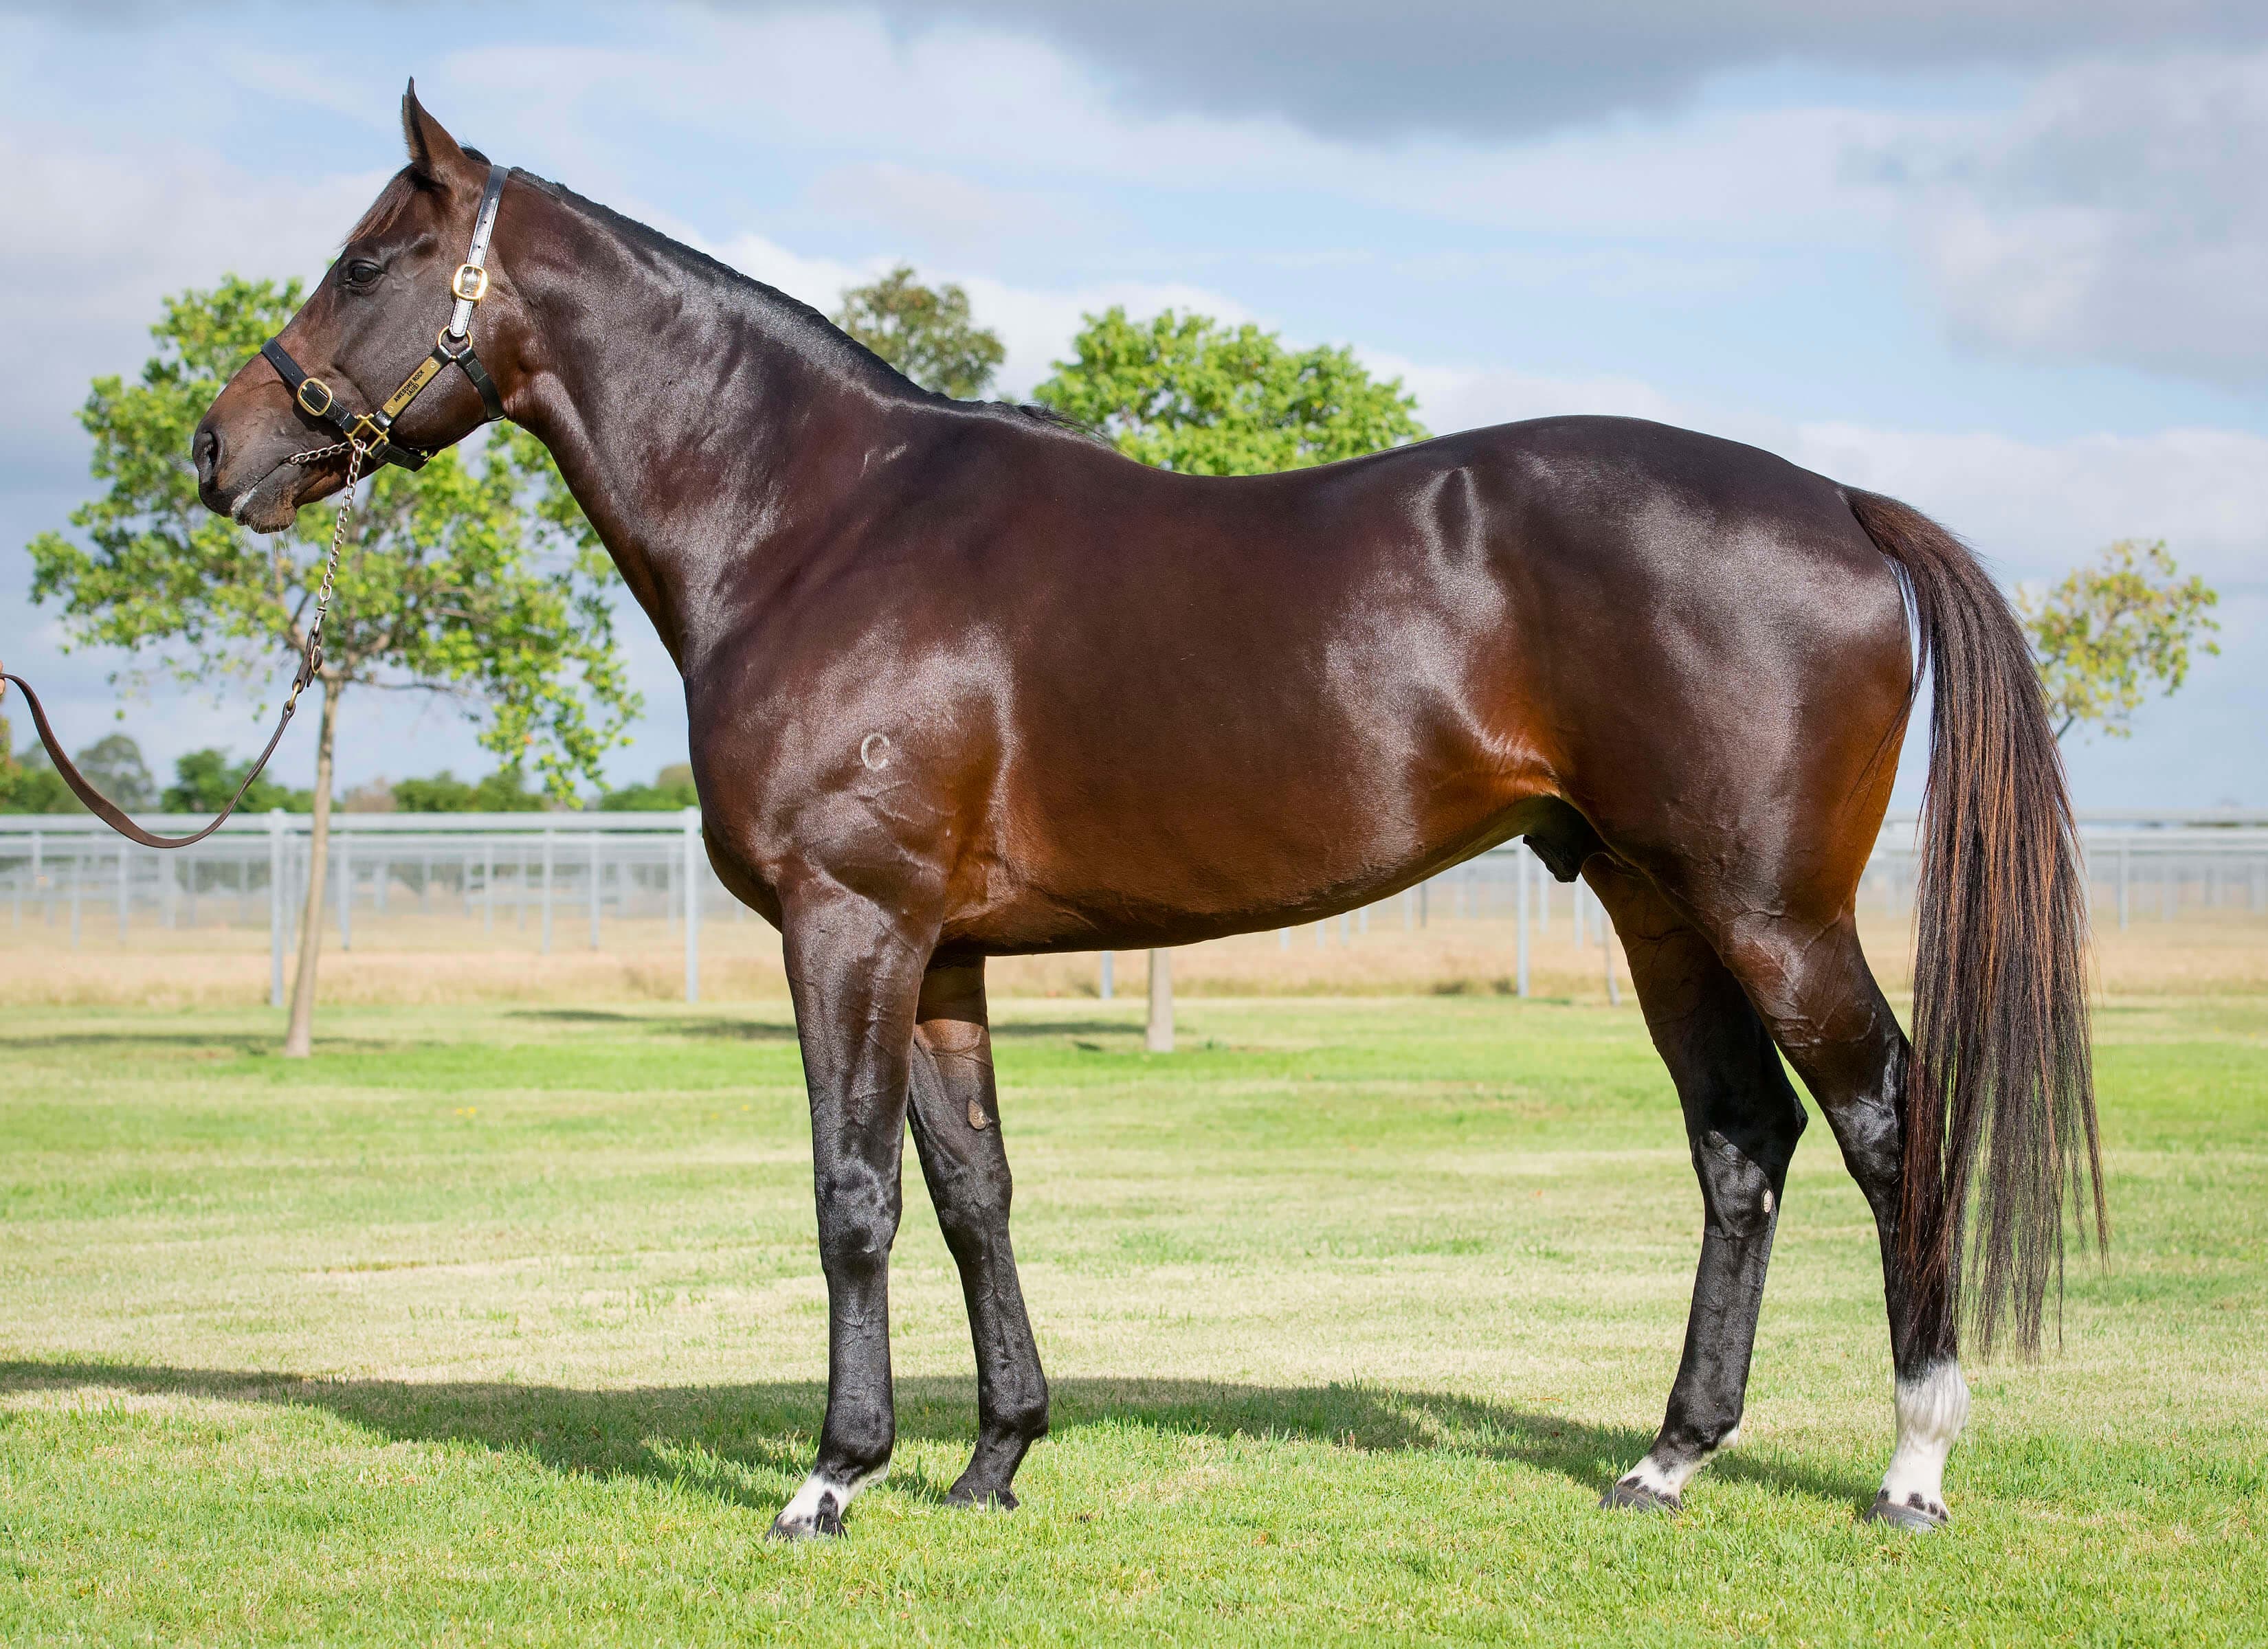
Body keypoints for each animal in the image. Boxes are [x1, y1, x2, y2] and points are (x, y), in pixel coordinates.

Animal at [192, 85, 2100, 1540]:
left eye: (366, 261)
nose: (222, 453)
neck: (816, 522)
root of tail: (1839, 502)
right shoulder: (941, 952)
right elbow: (974, 1190)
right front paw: (991, 1460)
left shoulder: (847, 926)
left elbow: (850, 1192)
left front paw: (830, 1478)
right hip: (1654, 902)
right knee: (1741, 1145)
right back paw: (1666, 1458)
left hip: (1771, 909)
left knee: (1887, 1120)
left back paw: (1911, 1465)